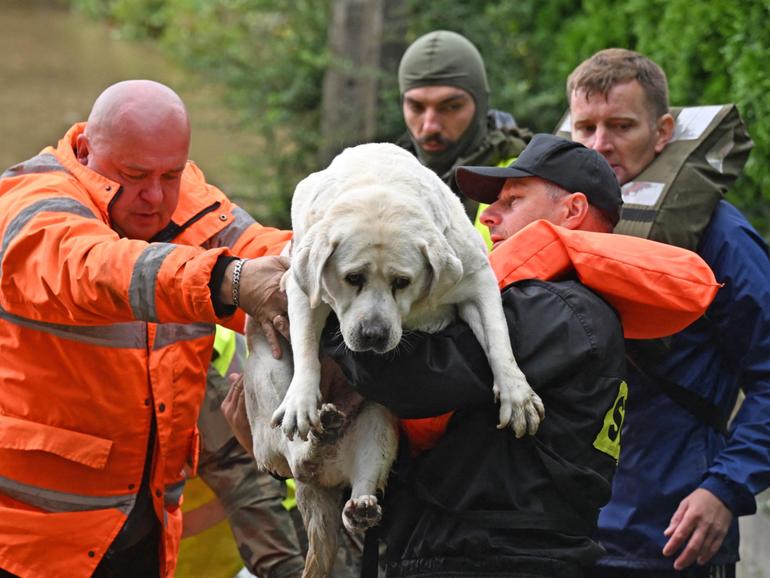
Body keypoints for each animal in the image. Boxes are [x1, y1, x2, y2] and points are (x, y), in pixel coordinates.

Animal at [243, 141, 544, 576]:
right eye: (353, 278)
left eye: (402, 281)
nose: (373, 335)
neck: (379, 187)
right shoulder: (299, 287)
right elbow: (304, 345)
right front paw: (302, 399)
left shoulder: (477, 280)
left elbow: (499, 337)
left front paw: (517, 395)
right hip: (266, 382)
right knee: (295, 454)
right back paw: (316, 427)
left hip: (380, 423)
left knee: (355, 478)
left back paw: (359, 501)